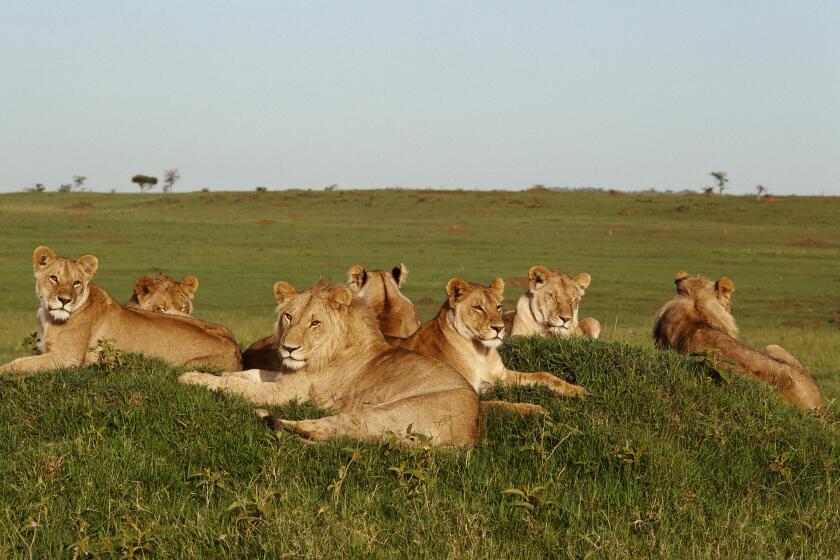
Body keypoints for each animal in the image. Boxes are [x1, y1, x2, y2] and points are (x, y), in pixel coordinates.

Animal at [0, 246, 242, 373]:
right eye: (53, 278)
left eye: (76, 283)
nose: (64, 300)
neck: (49, 317)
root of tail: (236, 349)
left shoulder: (67, 358)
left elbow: (17, 364)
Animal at [178, 280, 480, 447]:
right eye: (289, 316)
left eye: (315, 323)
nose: (288, 348)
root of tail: (468, 436)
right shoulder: (281, 377)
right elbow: (248, 373)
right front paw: (218, 371)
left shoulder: (286, 393)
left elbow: (237, 387)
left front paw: (191, 377)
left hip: (381, 413)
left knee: (332, 431)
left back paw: (265, 416)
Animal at [389, 277, 588, 415]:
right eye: (478, 308)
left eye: (498, 307)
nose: (499, 328)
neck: (480, 352)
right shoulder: (466, 396)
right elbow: (503, 405)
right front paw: (536, 409)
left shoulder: (500, 376)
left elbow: (543, 375)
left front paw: (576, 390)